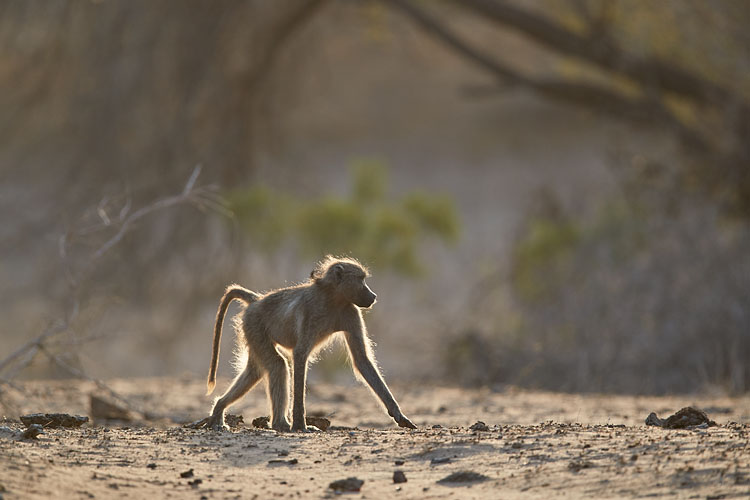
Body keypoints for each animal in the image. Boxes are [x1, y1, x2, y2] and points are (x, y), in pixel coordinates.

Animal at [205, 255, 417, 432]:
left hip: (252, 331)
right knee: (277, 365)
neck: (333, 299)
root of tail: (256, 300)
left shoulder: (351, 312)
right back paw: (281, 424)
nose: (373, 296)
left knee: (254, 372)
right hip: (255, 325)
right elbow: (300, 355)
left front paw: (399, 415)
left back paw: (219, 410)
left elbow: (362, 360)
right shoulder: (311, 312)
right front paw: (300, 425)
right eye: (361, 279)